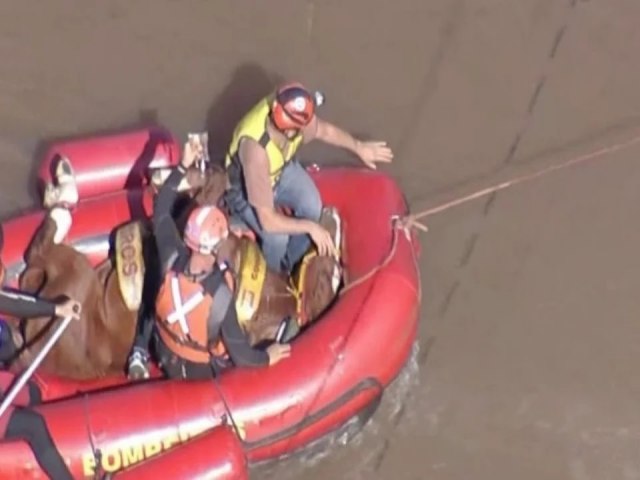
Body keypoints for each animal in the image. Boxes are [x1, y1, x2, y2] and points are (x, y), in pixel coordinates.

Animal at [5, 159, 342, 380]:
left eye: (333, 272)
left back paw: (63, 187)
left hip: (73, 275)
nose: (332, 216)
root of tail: (29, 355)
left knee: (43, 245)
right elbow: (209, 185)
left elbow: (210, 186)